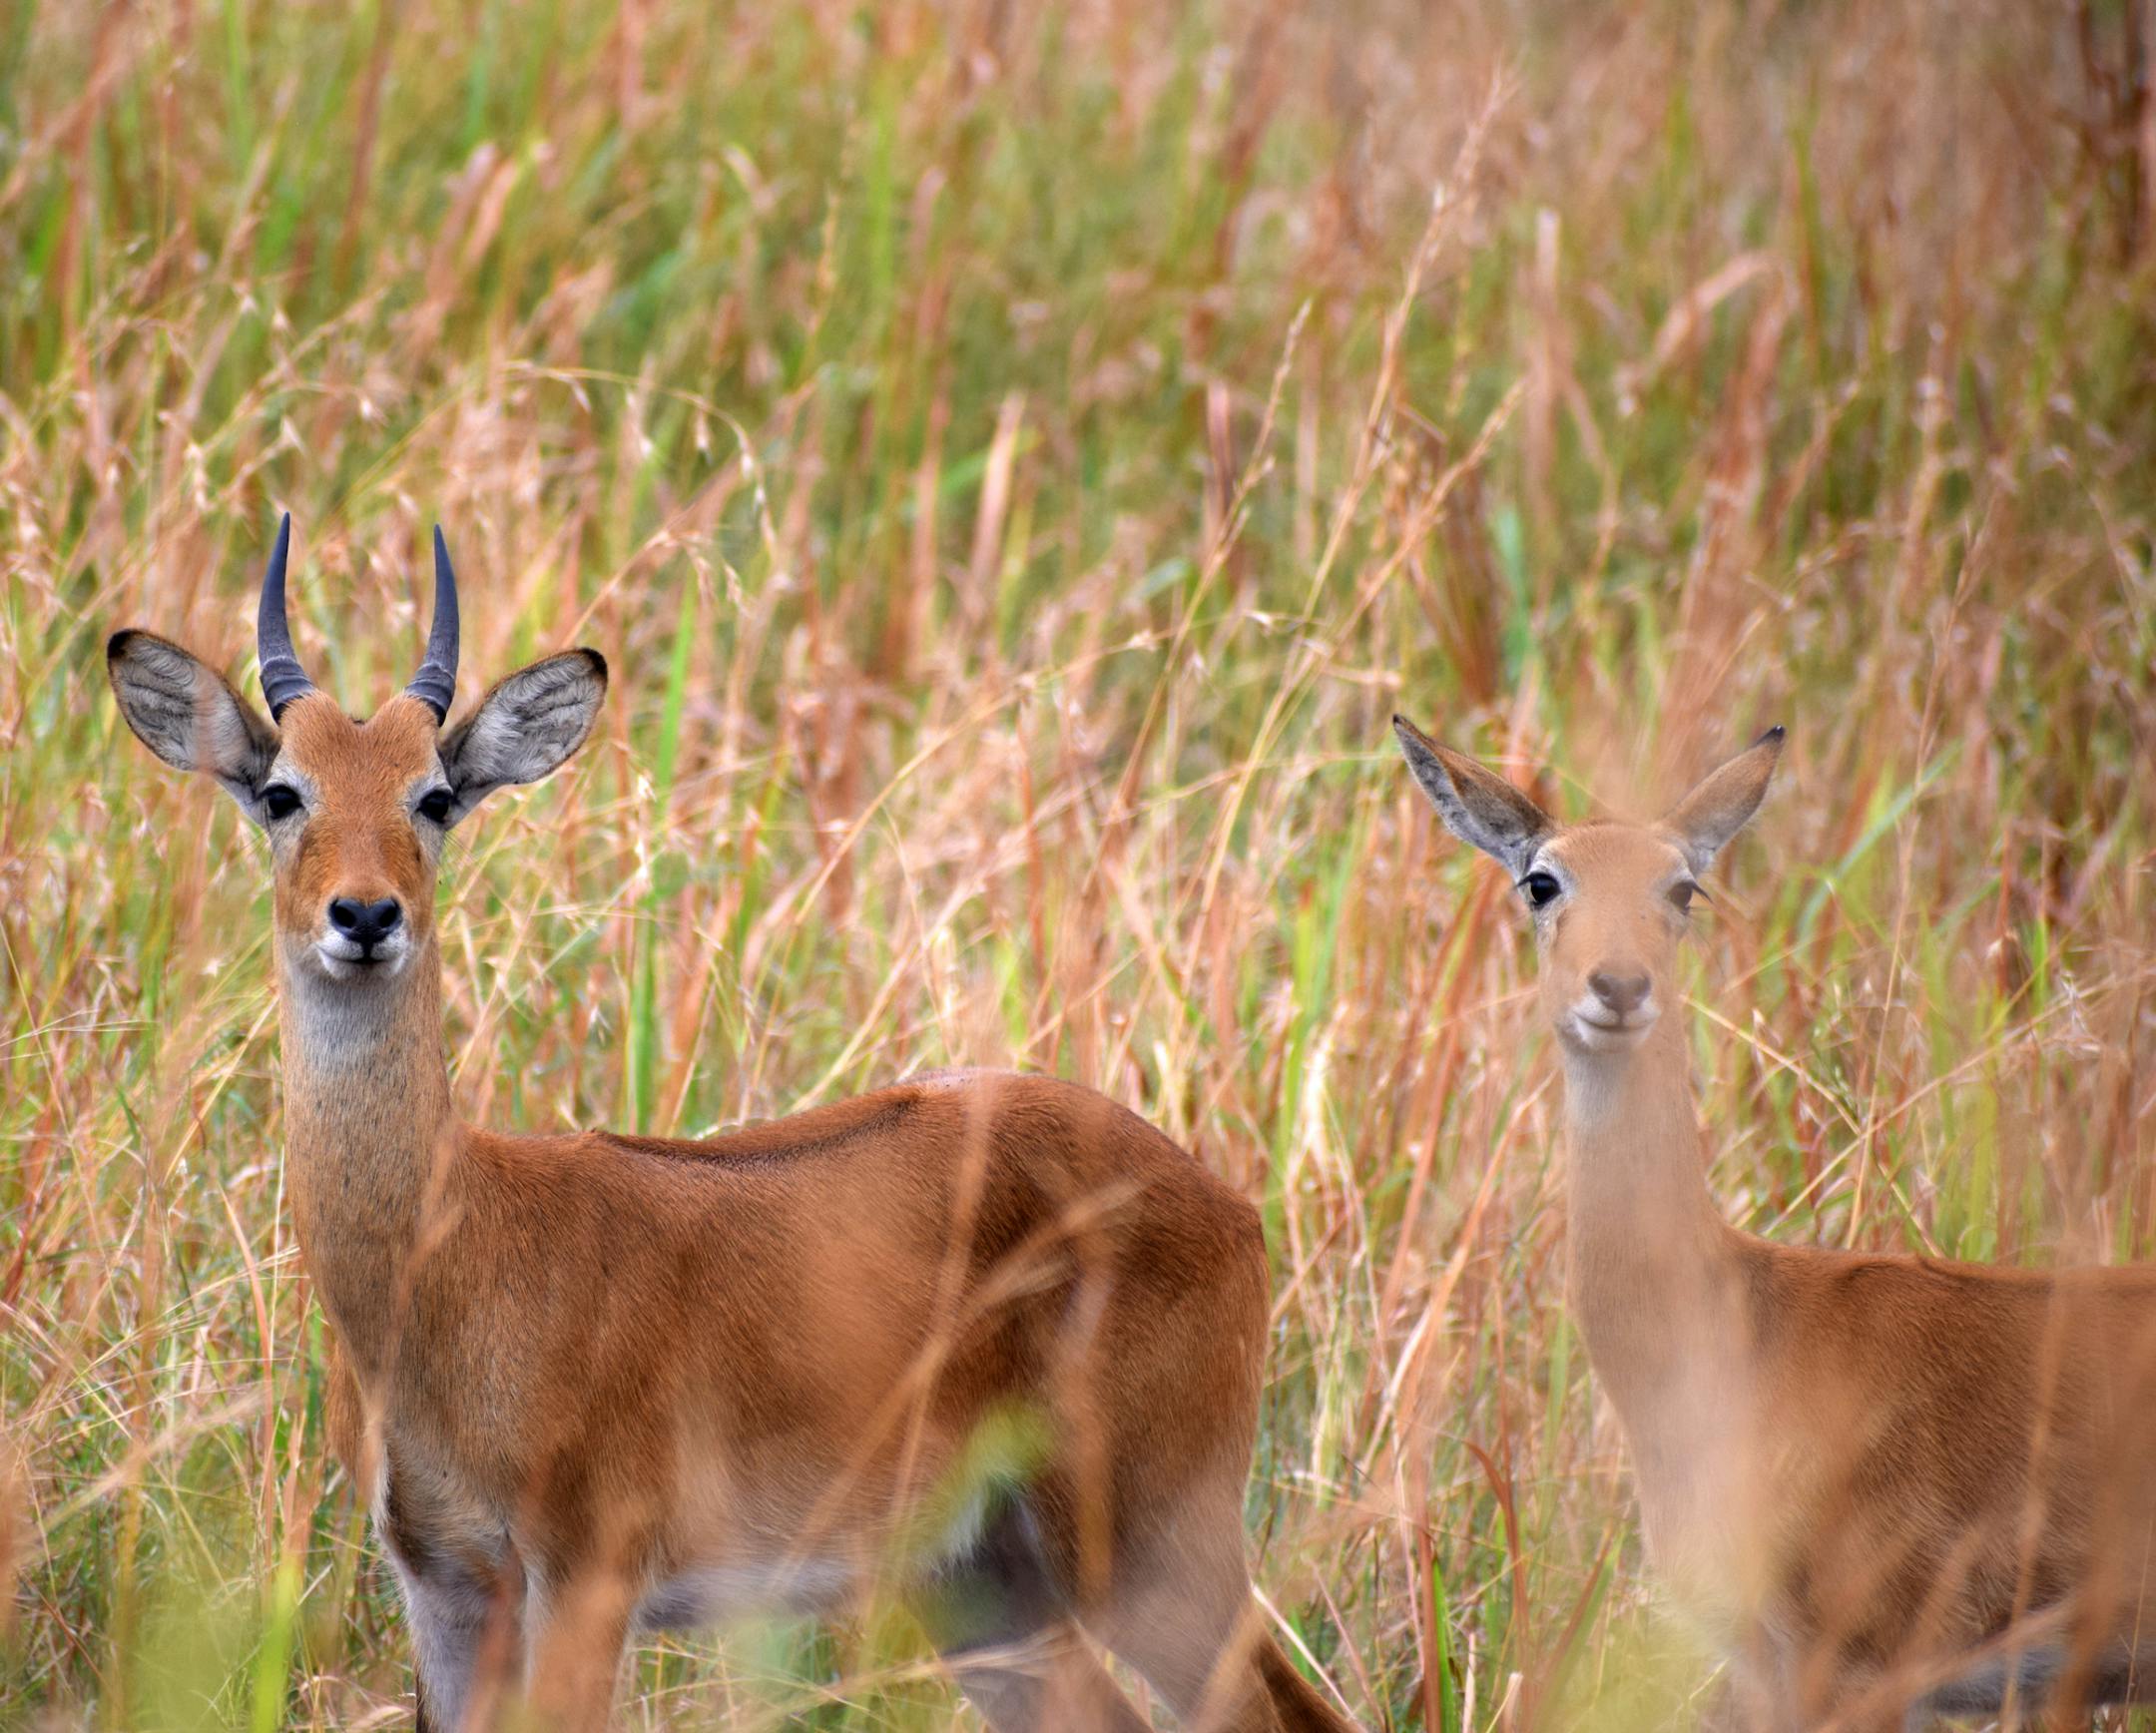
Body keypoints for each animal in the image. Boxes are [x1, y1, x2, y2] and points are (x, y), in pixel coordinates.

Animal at [103, 515, 1361, 1733]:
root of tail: (1231, 1201)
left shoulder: (589, 1574)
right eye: (284, 790)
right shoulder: (443, 1583)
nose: (364, 914)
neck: (451, 1256)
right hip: (982, 1579)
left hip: (1150, 1542)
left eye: (435, 793)